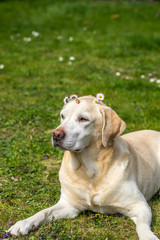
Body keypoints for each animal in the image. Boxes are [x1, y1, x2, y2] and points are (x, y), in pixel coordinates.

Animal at [7, 94, 160, 239]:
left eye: (83, 119)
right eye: (62, 116)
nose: (56, 134)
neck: (89, 171)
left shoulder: (140, 205)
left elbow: (142, 225)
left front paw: (148, 236)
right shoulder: (69, 205)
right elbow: (43, 212)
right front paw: (24, 223)